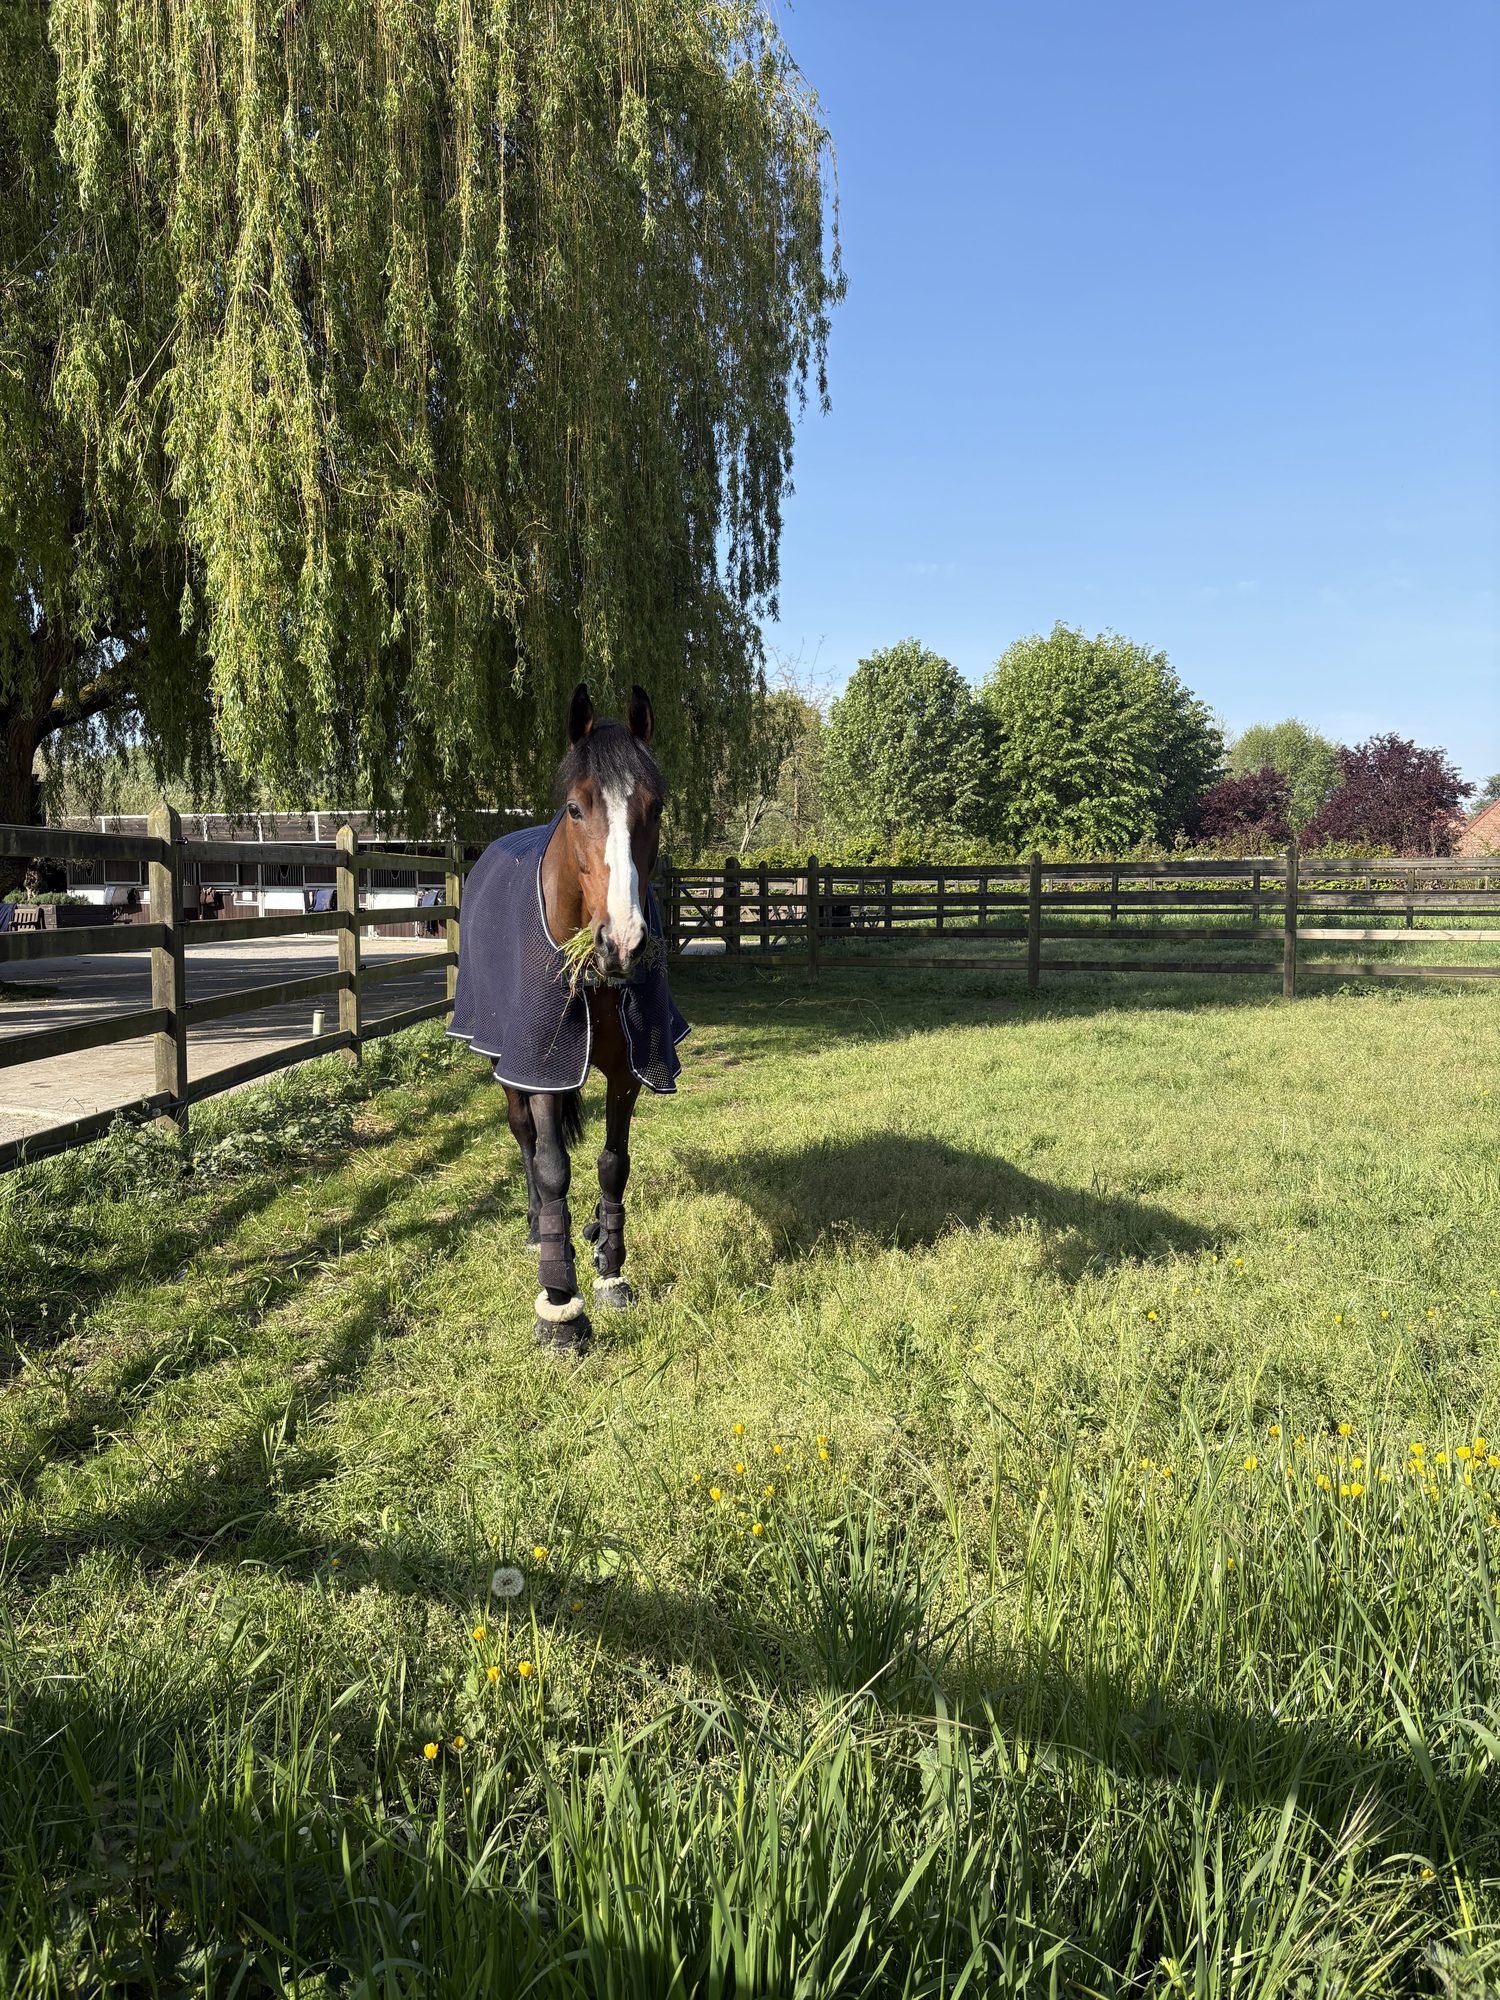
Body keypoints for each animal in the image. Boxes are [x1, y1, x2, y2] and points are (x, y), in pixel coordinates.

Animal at [448, 683, 688, 1355]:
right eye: (577, 810)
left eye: (656, 807)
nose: (622, 944)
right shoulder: (541, 1071)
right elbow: (554, 1167)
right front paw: (559, 1302)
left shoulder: (629, 1073)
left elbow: (613, 1164)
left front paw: (611, 1268)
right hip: (507, 1065)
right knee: (526, 1141)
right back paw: (538, 1227)